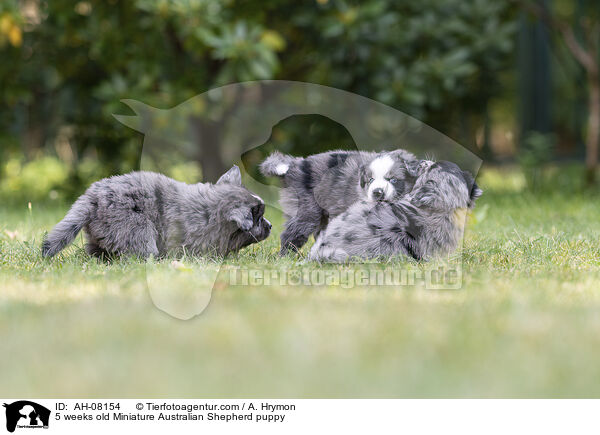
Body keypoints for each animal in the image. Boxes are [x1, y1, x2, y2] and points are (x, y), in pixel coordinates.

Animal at [258, 149, 418, 255]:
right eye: (370, 179)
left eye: (393, 180)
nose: (377, 192)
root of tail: (295, 164)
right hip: (307, 210)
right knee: (292, 233)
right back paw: (286, 256)